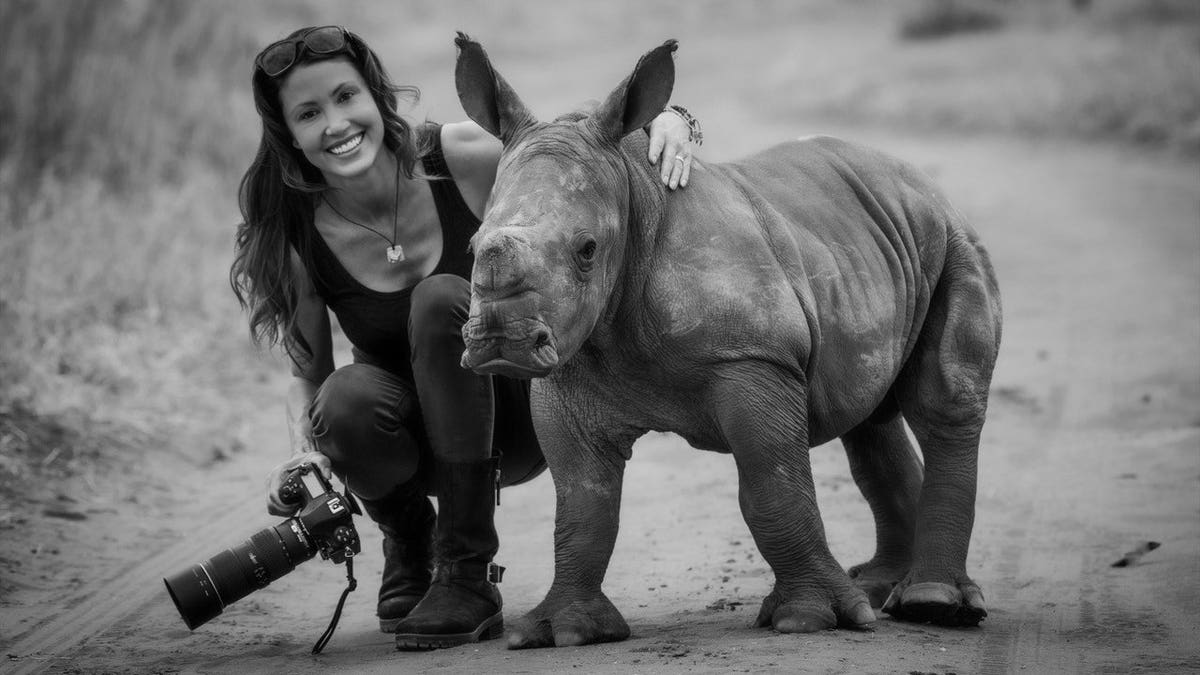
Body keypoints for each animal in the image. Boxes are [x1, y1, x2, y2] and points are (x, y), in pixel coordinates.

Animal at [454, 34, 1002, 648]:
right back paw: (883, 589)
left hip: (954, 240)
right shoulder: (572, 368)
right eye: (473, 245)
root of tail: (919, 181)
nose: (503, 341)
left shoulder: (752, 358)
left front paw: (810, 619)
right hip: (867, 244)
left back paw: (933, 603)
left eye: (588, 249)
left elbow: (772, 486)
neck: (634, 199)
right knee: (866, 415)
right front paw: (563, 631)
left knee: (942, 402)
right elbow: (583, 502)